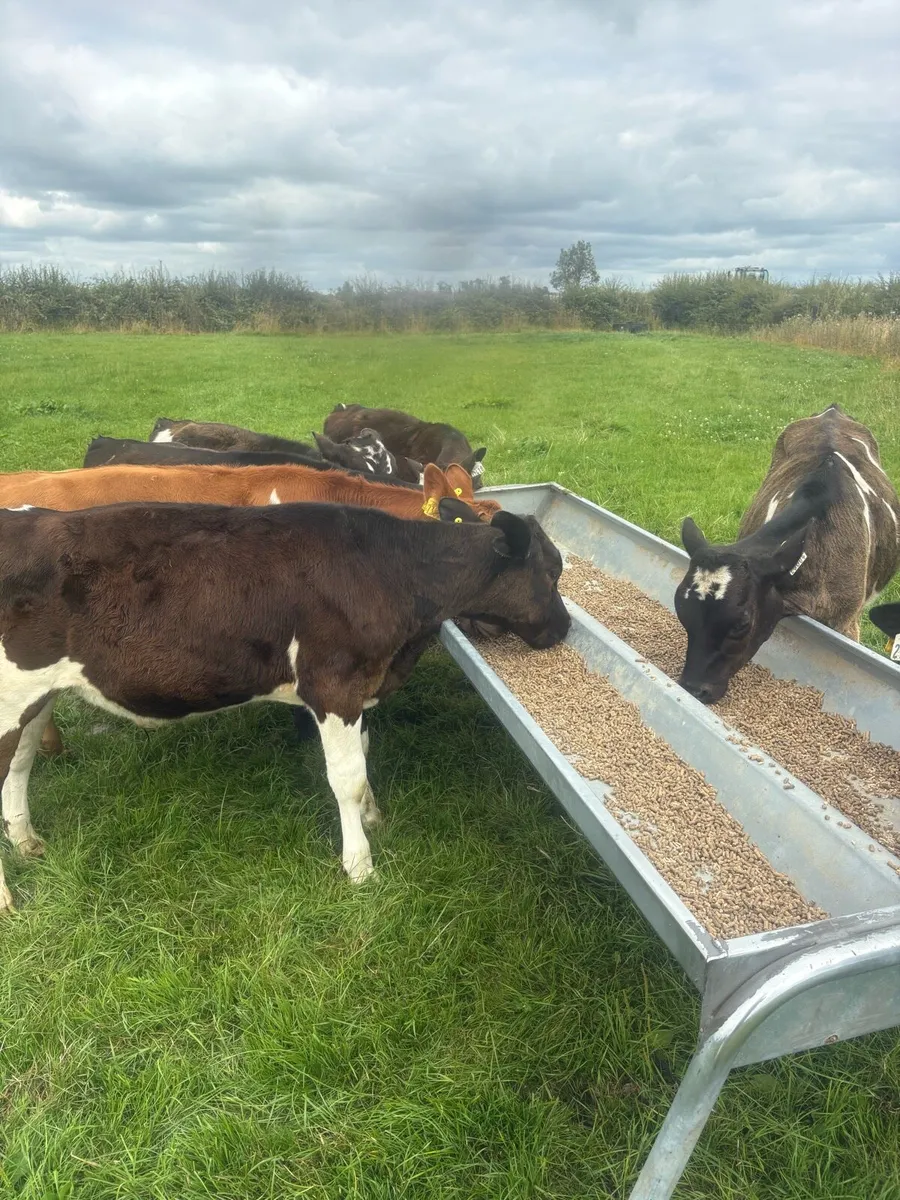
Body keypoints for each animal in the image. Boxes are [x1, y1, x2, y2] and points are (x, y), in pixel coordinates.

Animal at [0, 500, 570, 912]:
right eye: (553, 572)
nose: (564, 630)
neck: (391, 574)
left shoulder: (360, 689)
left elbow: (364, 756)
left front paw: (373, 817)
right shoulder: (334, 685)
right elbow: (346, 778)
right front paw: (360, 864)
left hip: (35, 697)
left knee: (21, 767)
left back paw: (27, 840)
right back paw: (7, 896)